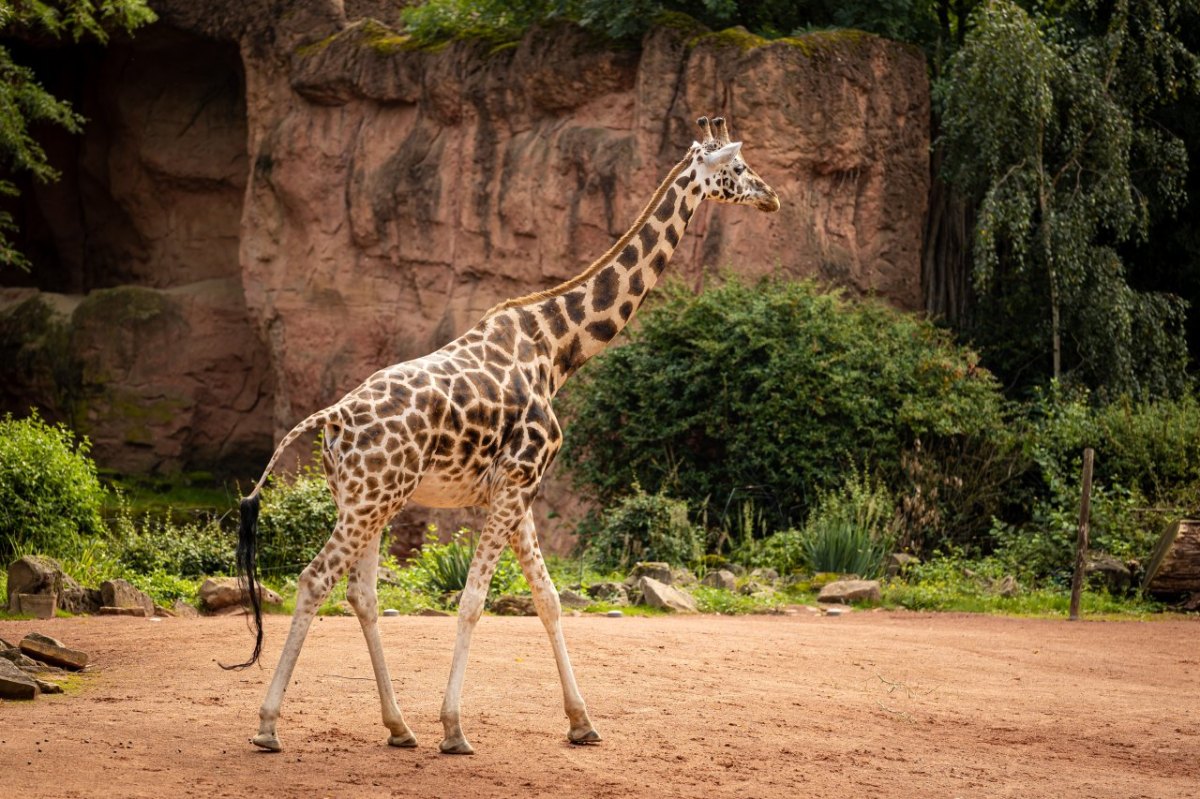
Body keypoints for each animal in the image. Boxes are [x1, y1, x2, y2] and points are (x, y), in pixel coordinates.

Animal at [226, 113, 777, 753]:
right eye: (737, 167)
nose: (772, 197)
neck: (558, 350)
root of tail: (331, 420)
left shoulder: (519, 490)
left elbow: (548, 599)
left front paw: (582, 723)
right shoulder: (517, 481)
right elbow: (472, 600)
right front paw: (454, 729)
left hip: (366, 499)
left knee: (361, 594)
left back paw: (398, 727)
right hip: (371, 500)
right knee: (315, 580)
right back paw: (268, 726)